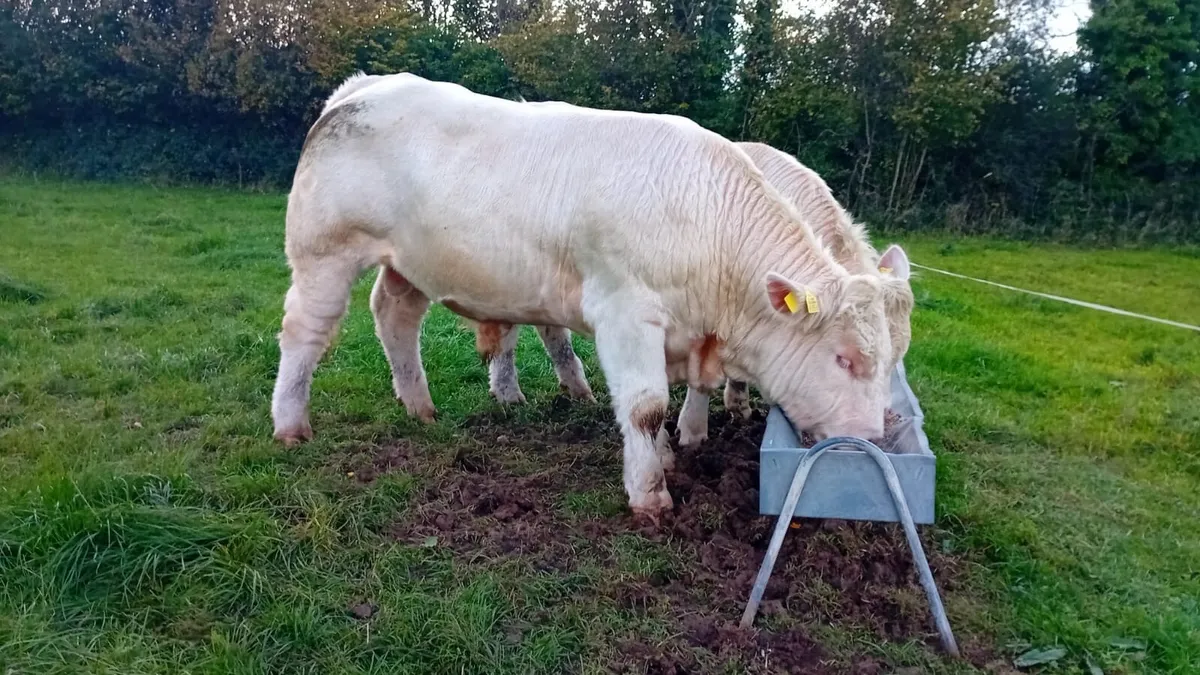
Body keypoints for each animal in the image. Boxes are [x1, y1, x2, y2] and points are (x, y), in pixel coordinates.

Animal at [271, 72, 898, 516]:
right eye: (845, 358)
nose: (872, 439)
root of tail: (364, 86)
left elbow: (663, 404)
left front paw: (665, 457)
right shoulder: (626, 314)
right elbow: (646, 406)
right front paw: (650, 494)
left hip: (411, 263)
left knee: (395, 317)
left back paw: (420, 408)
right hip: (324, 251)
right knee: (305, 332)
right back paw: (291, 425)